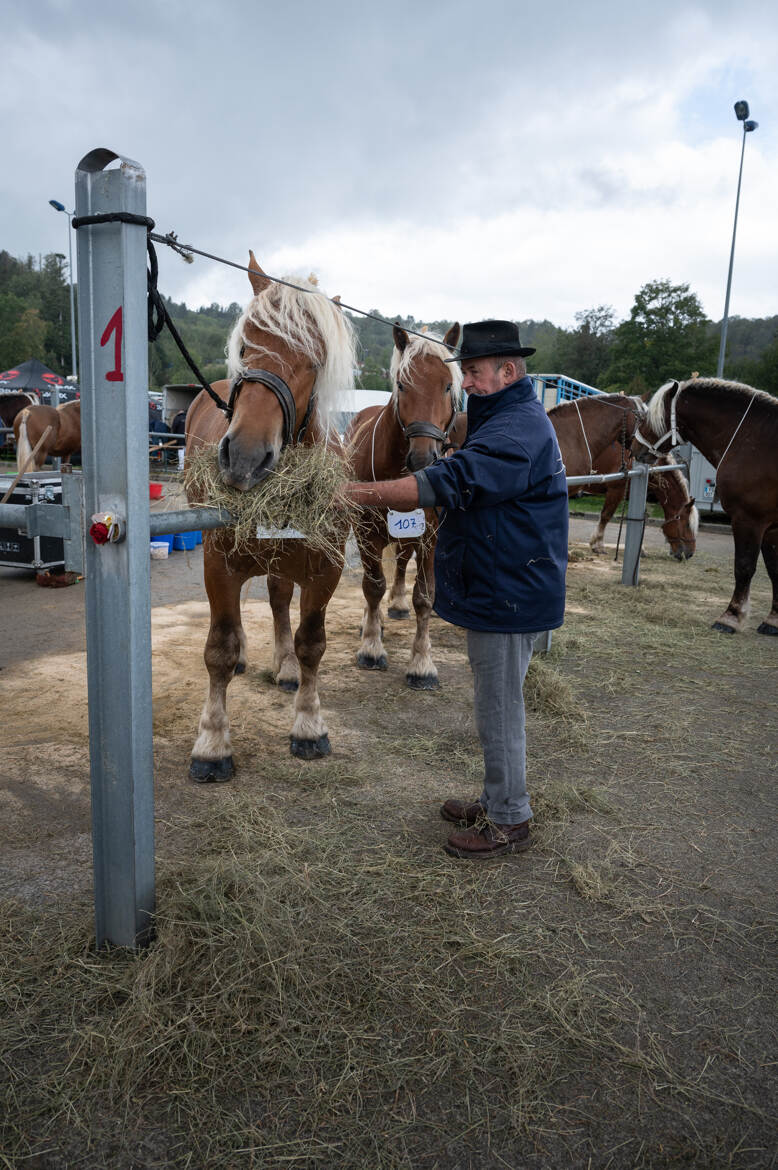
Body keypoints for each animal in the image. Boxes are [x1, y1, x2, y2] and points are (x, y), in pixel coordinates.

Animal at [183, 256, 355, 776]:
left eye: (315, 362)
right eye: (244, 346)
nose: (244, 458)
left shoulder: (326, 569)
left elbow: (311, 643)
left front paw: (309, 724)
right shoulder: (218, 562)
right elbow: (218, 650)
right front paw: (212, 742)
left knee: (280, 600)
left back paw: (284, 668)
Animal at [346, 322, 460, 683]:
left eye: (448, 385)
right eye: (401, 384)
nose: (423, 458)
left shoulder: (429, 536)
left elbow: (424, 596)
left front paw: (422, 662)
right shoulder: (365, 531)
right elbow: (372, 586)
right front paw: (371, 646)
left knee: (399, 563)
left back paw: (395, 606)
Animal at [636, 376, 776, 636]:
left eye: (652, 418)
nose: (633, 445)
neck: (753, 439)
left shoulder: (752, 519)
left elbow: (746, 566)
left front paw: (731, 617)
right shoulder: (769, 526)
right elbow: (772, 568)